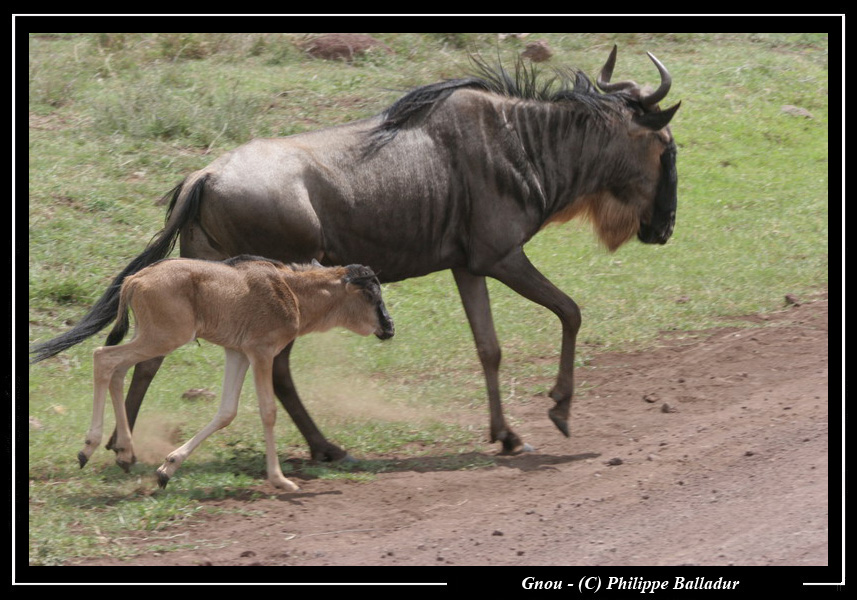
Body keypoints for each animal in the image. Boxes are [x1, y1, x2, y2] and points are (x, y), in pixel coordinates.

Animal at [78, 255, 392, 490]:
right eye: (370, 293)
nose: (389, 327)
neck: (293, 292)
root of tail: (135, 279)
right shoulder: (261, 352)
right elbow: (268, 411)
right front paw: (279, 479)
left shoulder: (237, 353)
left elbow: (227, 411)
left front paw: (168, 468)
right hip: (164, 338)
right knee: (103, 357)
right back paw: (89, 447)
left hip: (149, 338)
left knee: (118, 370)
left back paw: (124, 452)